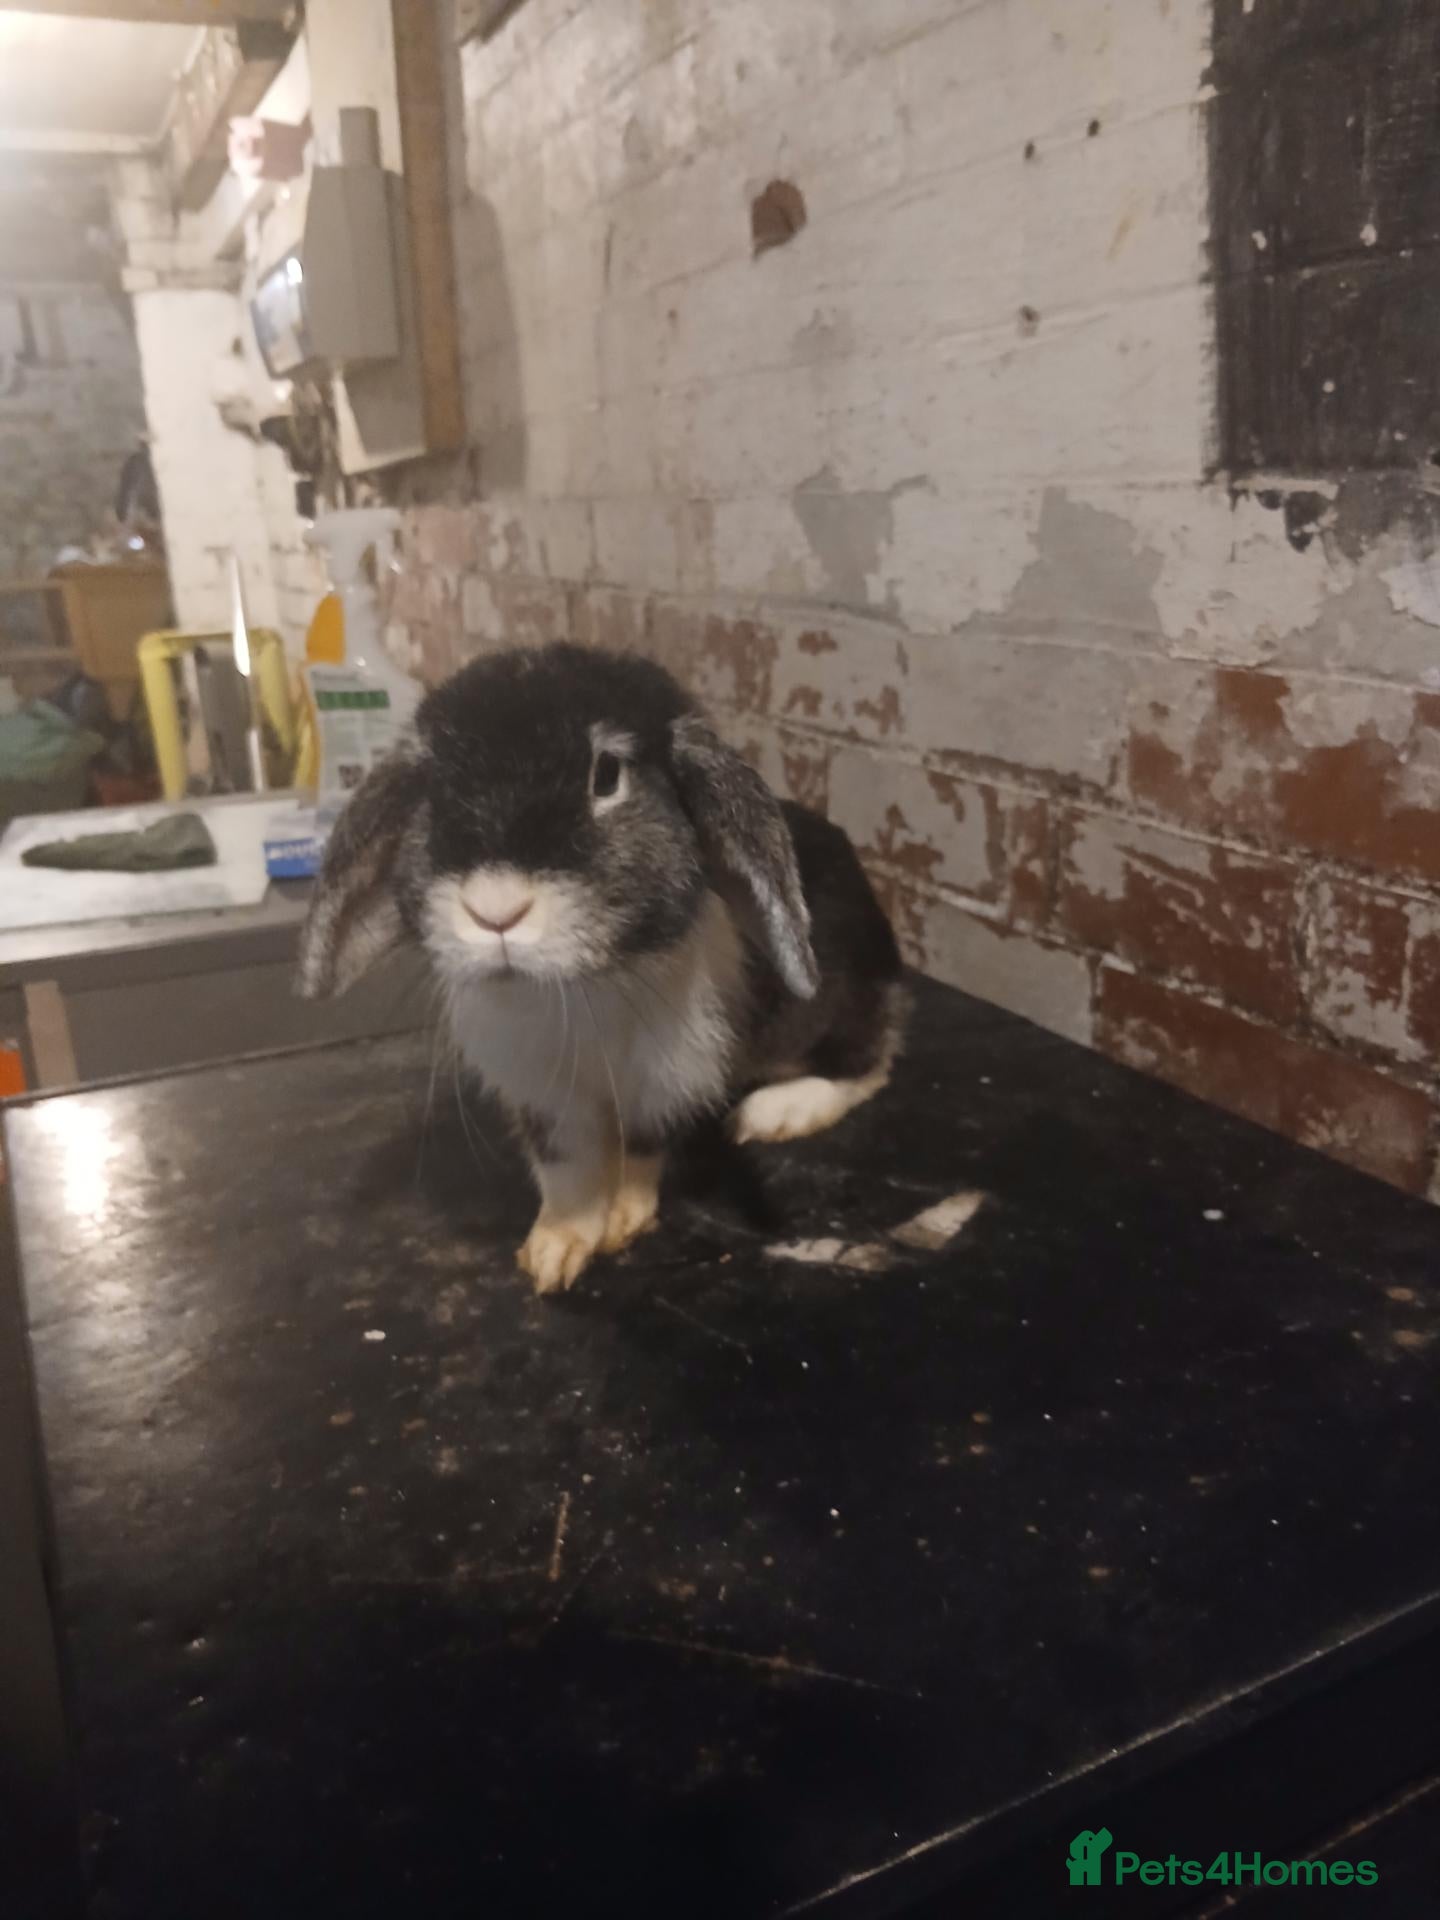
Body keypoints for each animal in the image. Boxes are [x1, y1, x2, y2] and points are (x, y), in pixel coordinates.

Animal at [298, 643, 907, 1294]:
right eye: (433, 792)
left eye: (607, 775)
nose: (495, 910)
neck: (580, 988)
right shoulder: (543, 1099)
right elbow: (568, 1170)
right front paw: (553, 1251)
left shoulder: (664, 1083)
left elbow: (640, 1154)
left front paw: (621, 1224)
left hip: (827, 1013)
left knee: (873, 1062)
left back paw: (778, 1111)